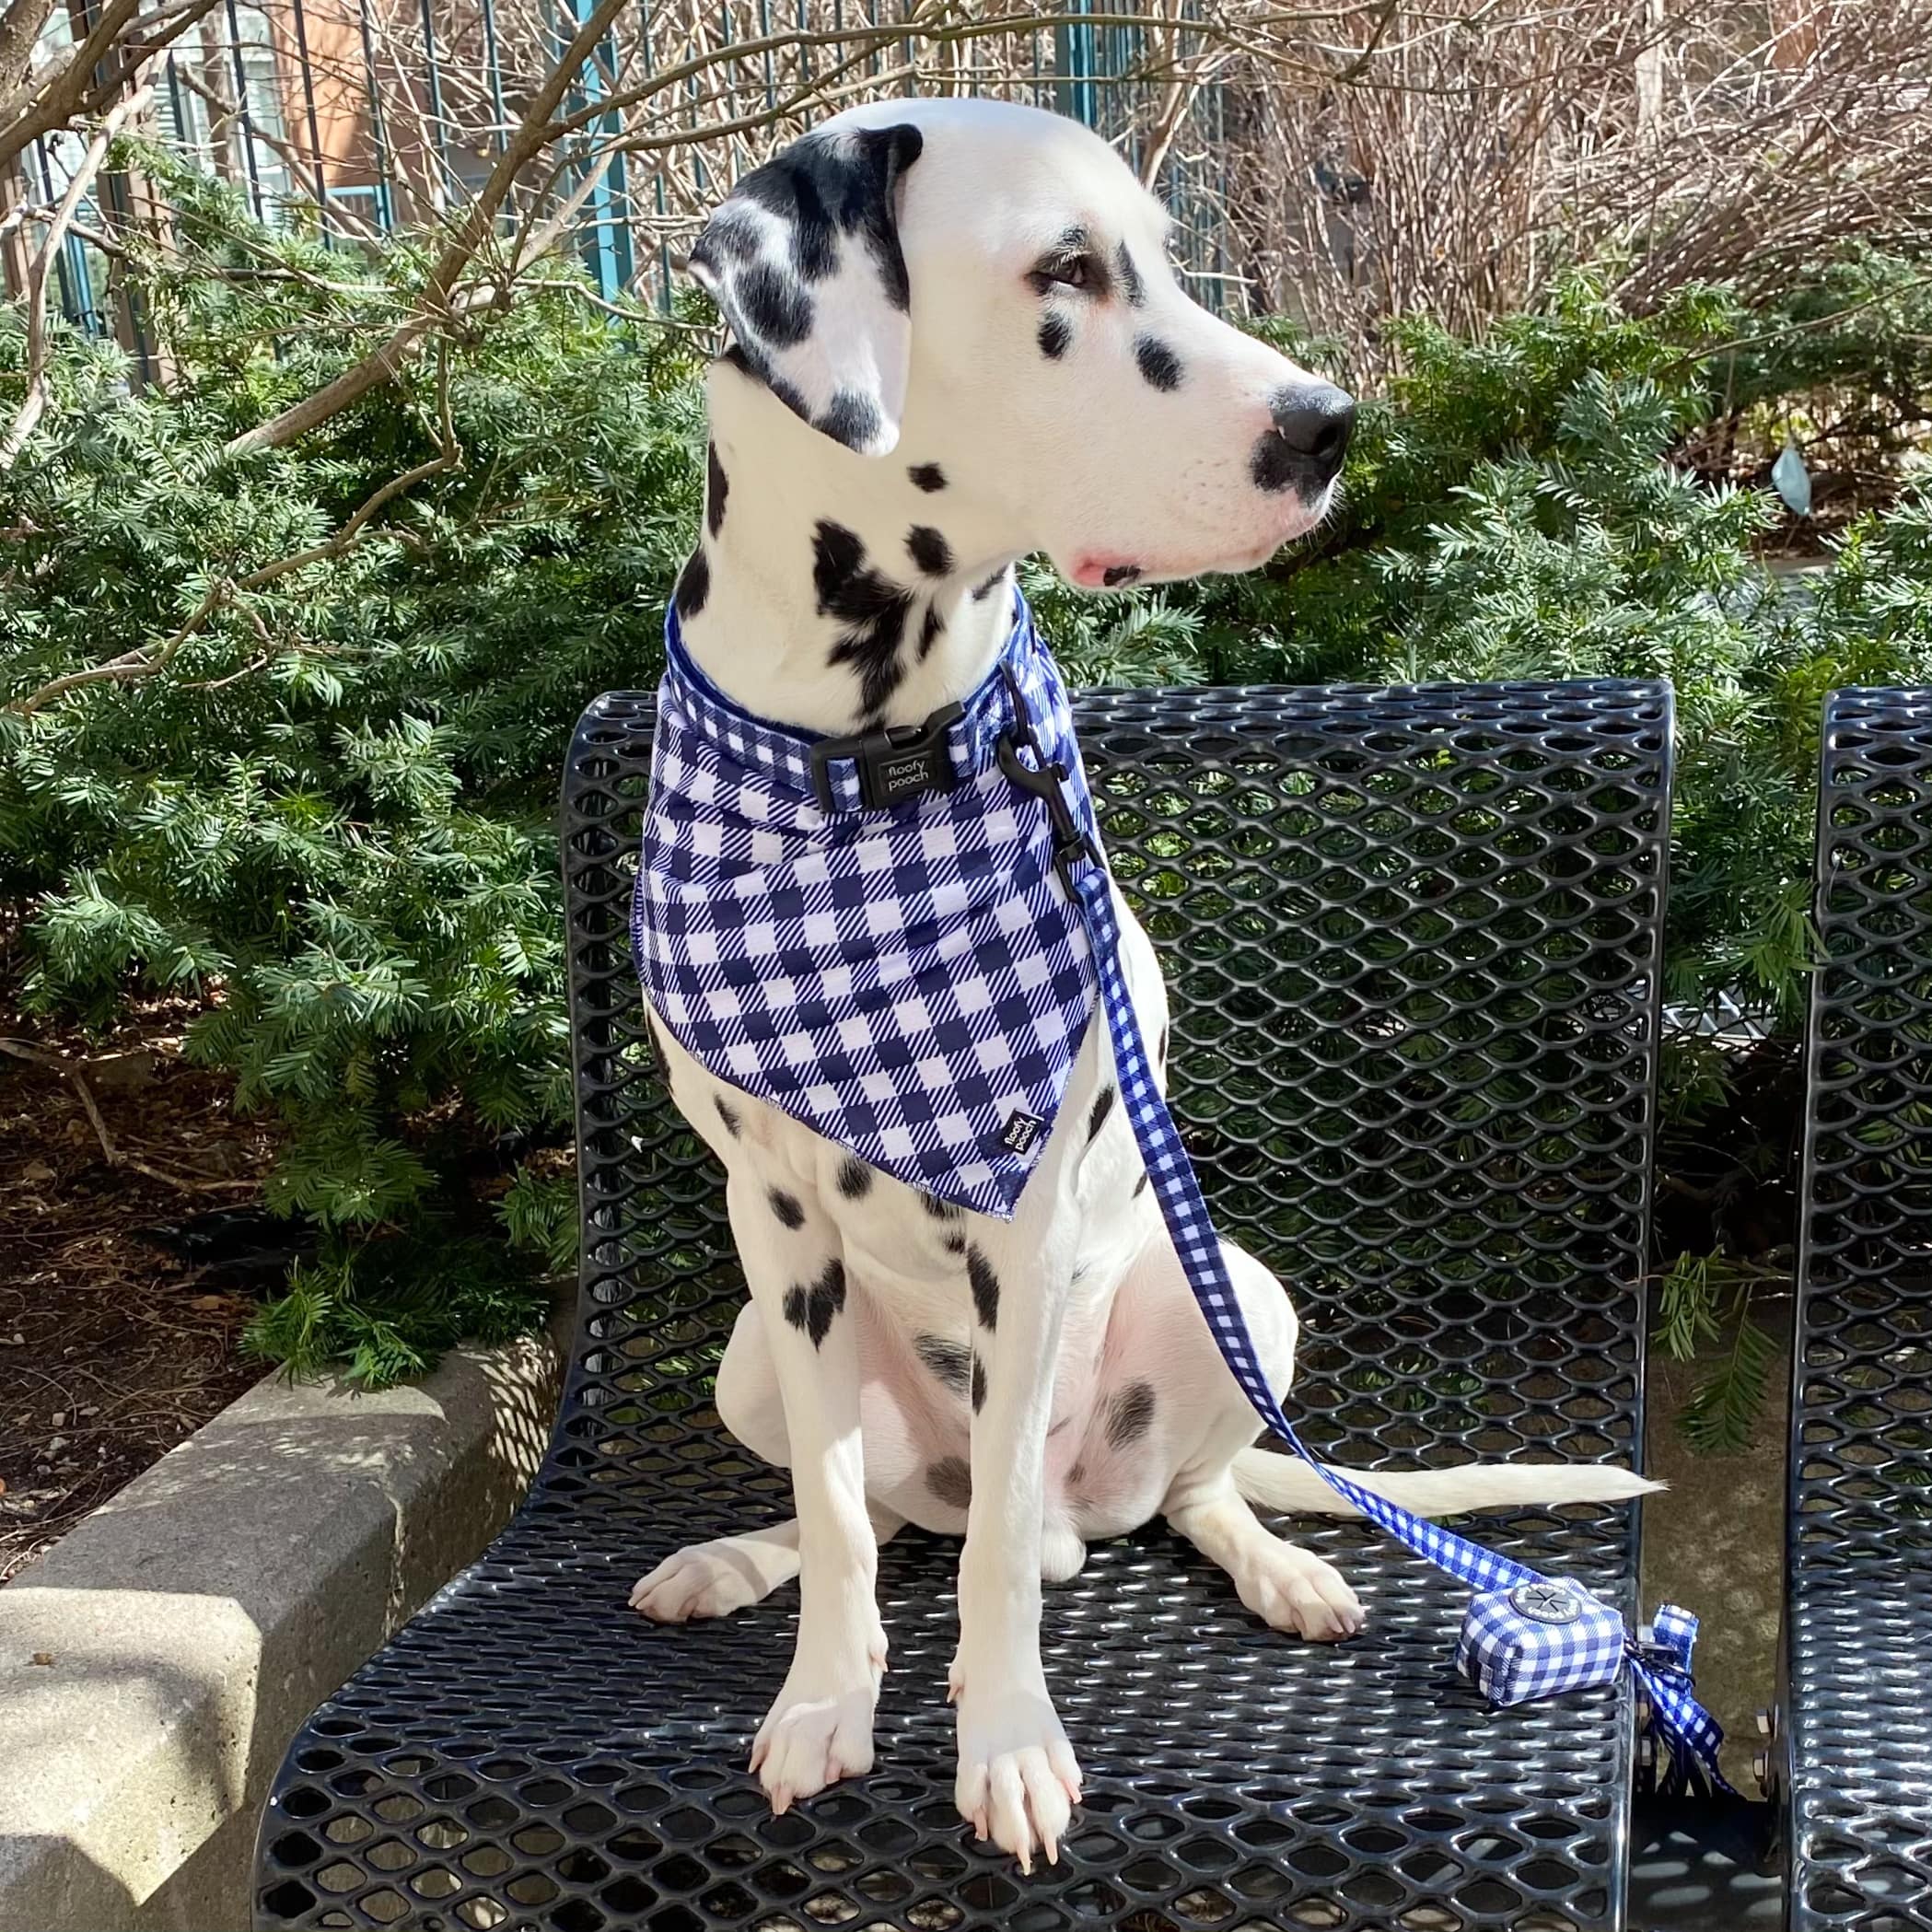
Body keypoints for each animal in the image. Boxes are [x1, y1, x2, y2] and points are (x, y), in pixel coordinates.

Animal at [625, 98, 1653, 1878]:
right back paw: (736, 1560)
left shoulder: (1031, 1236)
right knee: (880, 1506)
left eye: (1166, 259)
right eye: (1062, 271)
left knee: (1168, 1497)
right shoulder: (776, 1219)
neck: (867, 770)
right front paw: (825, 1695)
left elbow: (984, 1579)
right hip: (751, 1350)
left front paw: (1005, 1738)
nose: (1330, 426)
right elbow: (836, 1515)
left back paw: (1274, 1561)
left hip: (1237, 1295)